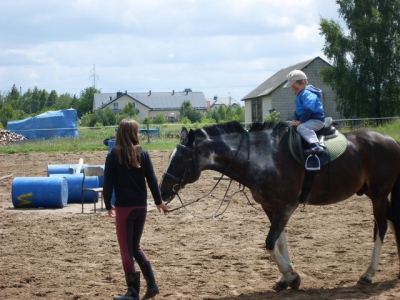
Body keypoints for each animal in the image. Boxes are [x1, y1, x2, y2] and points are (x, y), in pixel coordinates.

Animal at [159, 120, 400, 292]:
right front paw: (286, 278)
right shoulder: (271, 207)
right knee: (392, 220)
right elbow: (279, 241)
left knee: (381, 227)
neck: (261, 157)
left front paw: (291, 275)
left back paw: (368, 274)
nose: (162, 190)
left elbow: (269, 242)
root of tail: (391, 140)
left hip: (378, 194)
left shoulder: (285, 205)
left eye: (180, 158)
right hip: (373, 193)